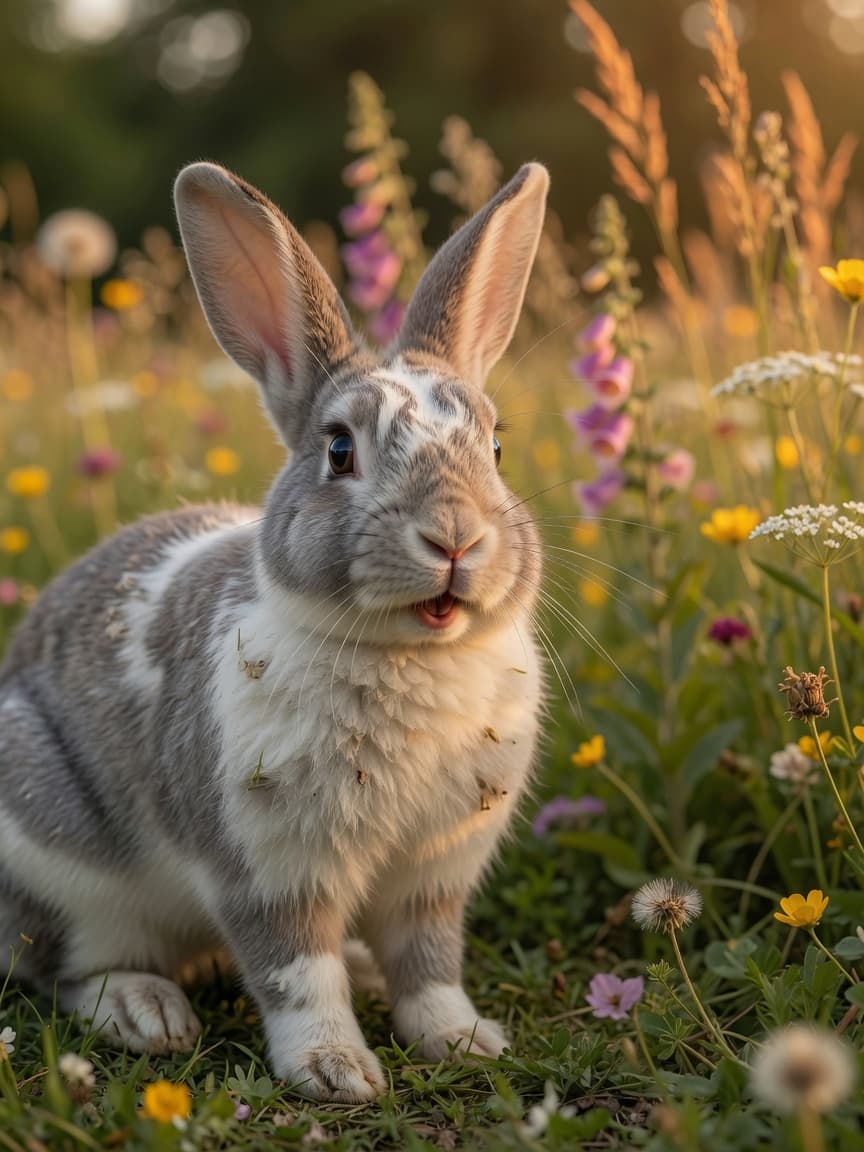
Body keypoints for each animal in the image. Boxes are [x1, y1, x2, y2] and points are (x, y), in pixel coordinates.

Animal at [0, 158, 548, 1103]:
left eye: (497, 449)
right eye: (339, 450)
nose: (454, 538)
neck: (409, 654)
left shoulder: (434, 873)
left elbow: (430, 964)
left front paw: (463, 1040)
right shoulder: (266, 868)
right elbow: (295, 972)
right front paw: (335, 1071)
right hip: (59, 863)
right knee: (65, 966)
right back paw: (146, 1012)